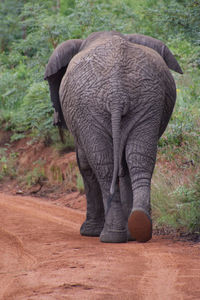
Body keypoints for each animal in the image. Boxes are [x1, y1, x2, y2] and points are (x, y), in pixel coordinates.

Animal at [44, 30, 183, 243]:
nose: (55, 121)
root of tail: (117, 93)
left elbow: (84, 163)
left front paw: (89, 232)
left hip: (89, 108)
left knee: (104, 164)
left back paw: (110, 236)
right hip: (147, 101)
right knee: (139, 157)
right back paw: (139, 226)